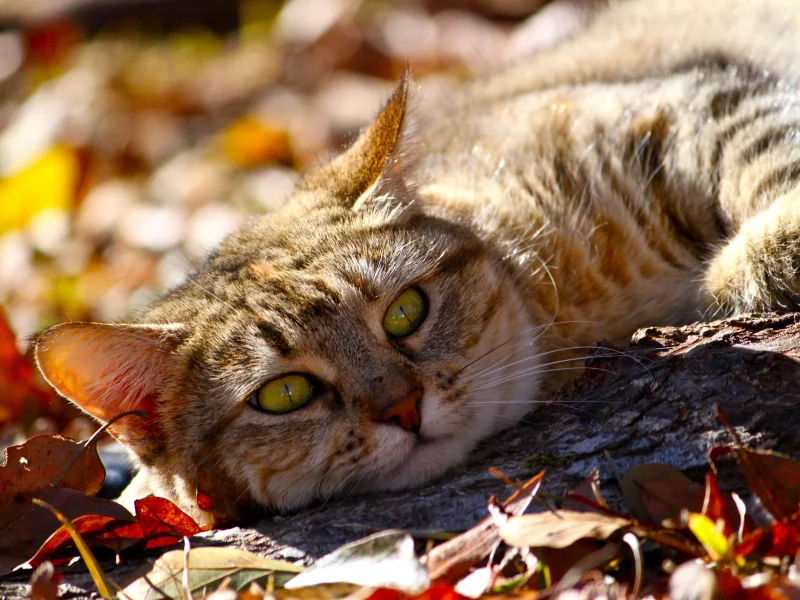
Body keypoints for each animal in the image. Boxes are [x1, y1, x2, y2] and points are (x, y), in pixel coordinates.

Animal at [34, 0, 800, 524]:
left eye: (405, 311)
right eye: (284, 395)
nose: (403, 409)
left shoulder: (695, 99)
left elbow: (767, 160)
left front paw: (744, 271)